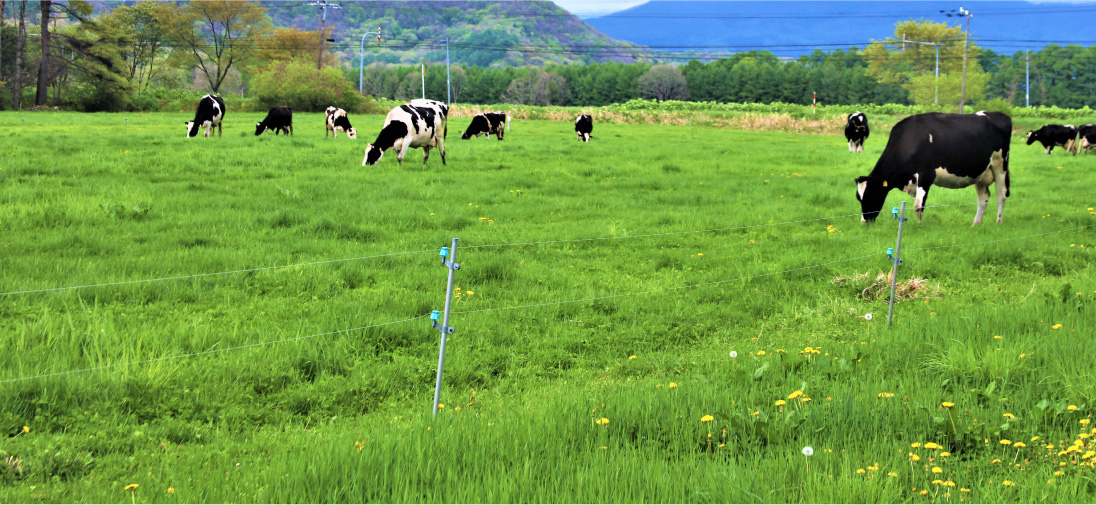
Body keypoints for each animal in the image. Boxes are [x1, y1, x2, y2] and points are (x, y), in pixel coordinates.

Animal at [854, 112, 1008, 226]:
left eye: (871, 193)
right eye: (858, 197)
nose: (864, 222)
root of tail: (996, 114)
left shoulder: (926, 174)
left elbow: (918, 204)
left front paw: (920, 226)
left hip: (1000, 166)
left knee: (1001, 195)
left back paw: (998, 222)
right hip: (981, 173)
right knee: (983, 198)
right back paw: (976, 224)